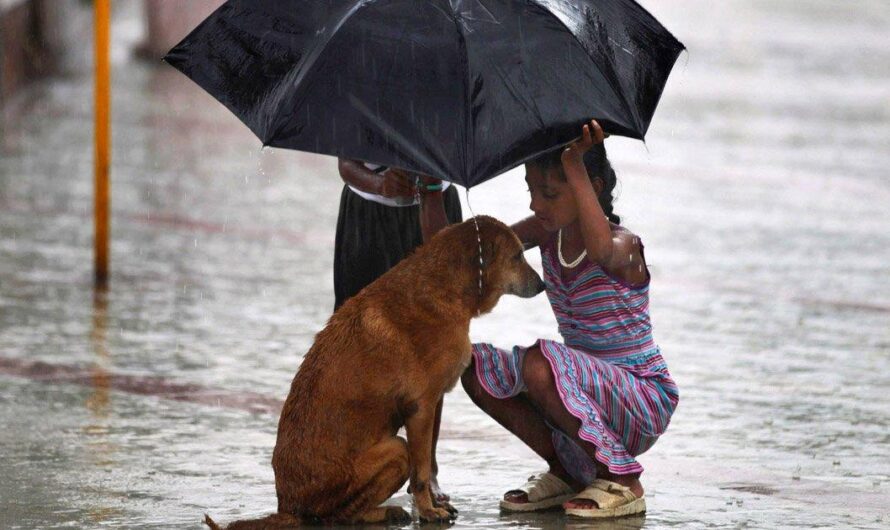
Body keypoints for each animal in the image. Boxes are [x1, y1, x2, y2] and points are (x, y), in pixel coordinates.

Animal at [206, 216, 544, 528]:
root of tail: (287, 508)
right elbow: (422, 472)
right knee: (339, 515)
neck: (443, 286)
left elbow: (426, 466)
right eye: (517, 256)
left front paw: (433, 504)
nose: (542, 285)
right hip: (395, 450)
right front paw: (428, 510)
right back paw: (383, 512)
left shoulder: (431, 405)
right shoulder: (421, 408)